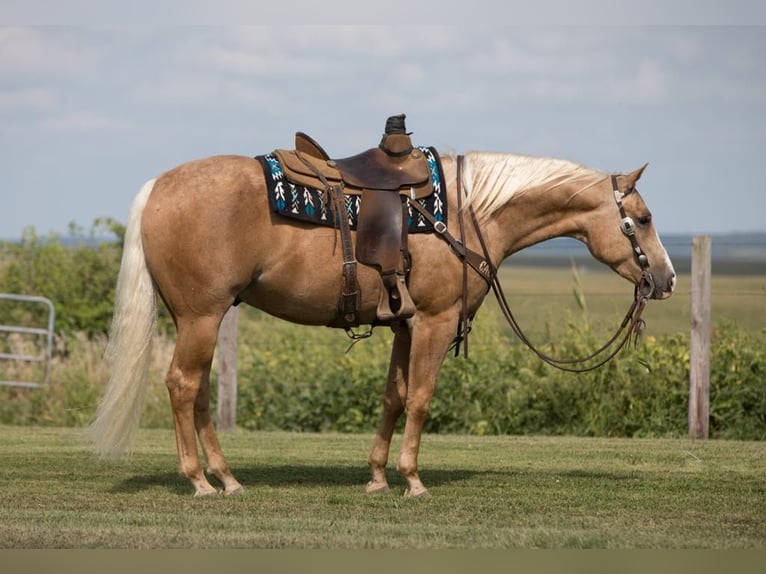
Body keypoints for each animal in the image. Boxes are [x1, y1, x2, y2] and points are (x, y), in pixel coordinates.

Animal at [91, 145, 680, 500]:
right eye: (644, 219)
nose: (668, 279)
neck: (466, 214)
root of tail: (158, 186)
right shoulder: (436, 322)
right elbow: (420, 397)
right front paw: (412, 479)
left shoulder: (405, 325)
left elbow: (393, 396)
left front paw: (376, 476)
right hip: (201, 316)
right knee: (182, 384)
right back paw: (200, 482)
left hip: (201, 320)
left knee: (199, 392)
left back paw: (228, 478)